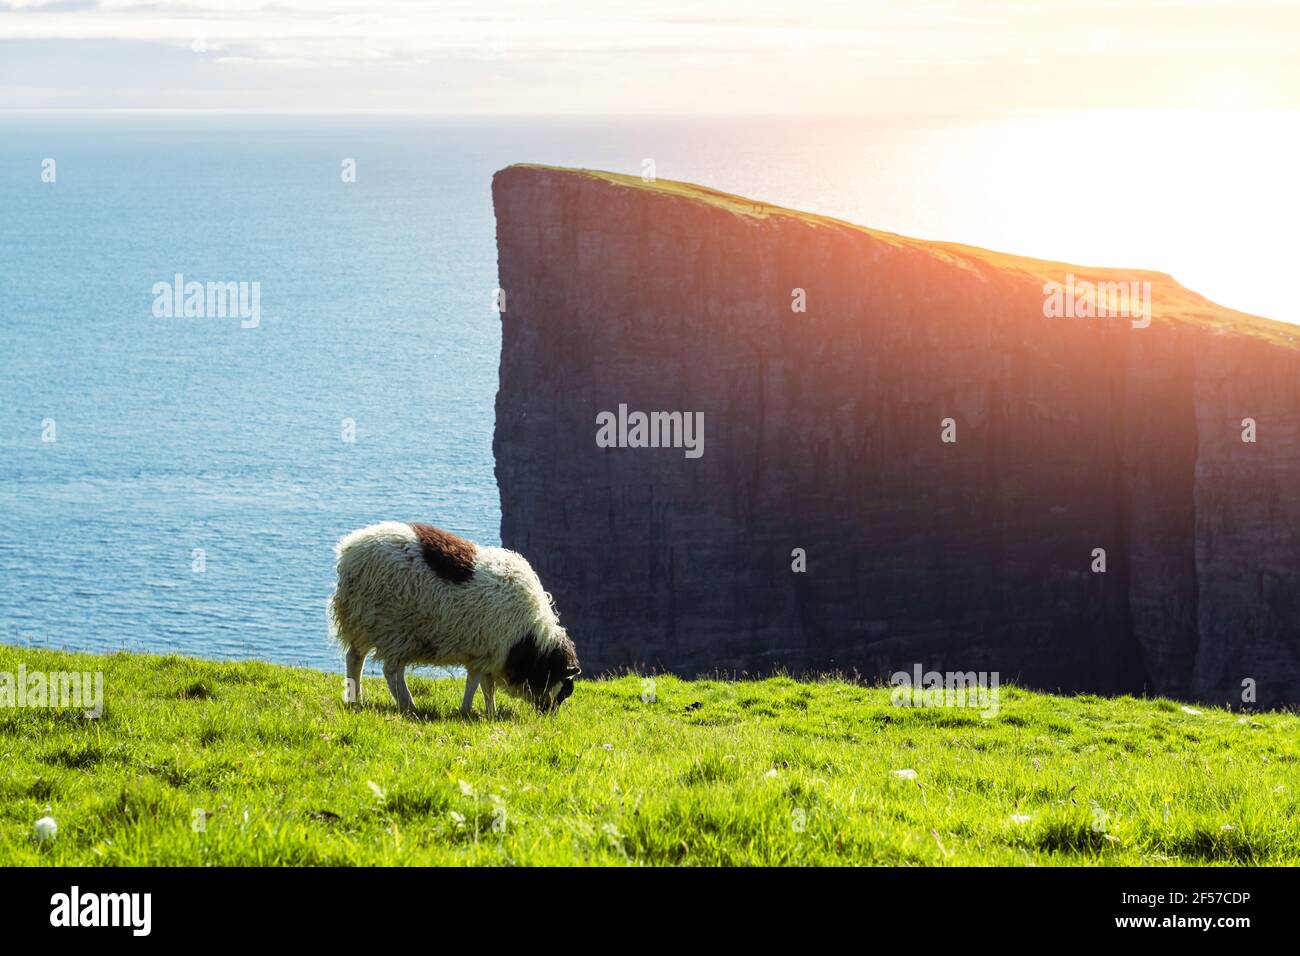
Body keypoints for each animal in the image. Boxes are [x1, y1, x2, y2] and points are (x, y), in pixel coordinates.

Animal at [330, 522, 579, 717]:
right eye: (564, 689)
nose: (549, 715)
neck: (530, 642)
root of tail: (349, 550)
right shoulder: (484, 654)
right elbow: (475, 683)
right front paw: (467, 711)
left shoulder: (490, 654)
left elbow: (487, 687)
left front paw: (490, 713)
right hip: (391, 627)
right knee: (390, 671)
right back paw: (409, 706)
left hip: (365, 622)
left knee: (356, 658)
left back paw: (356, 700)